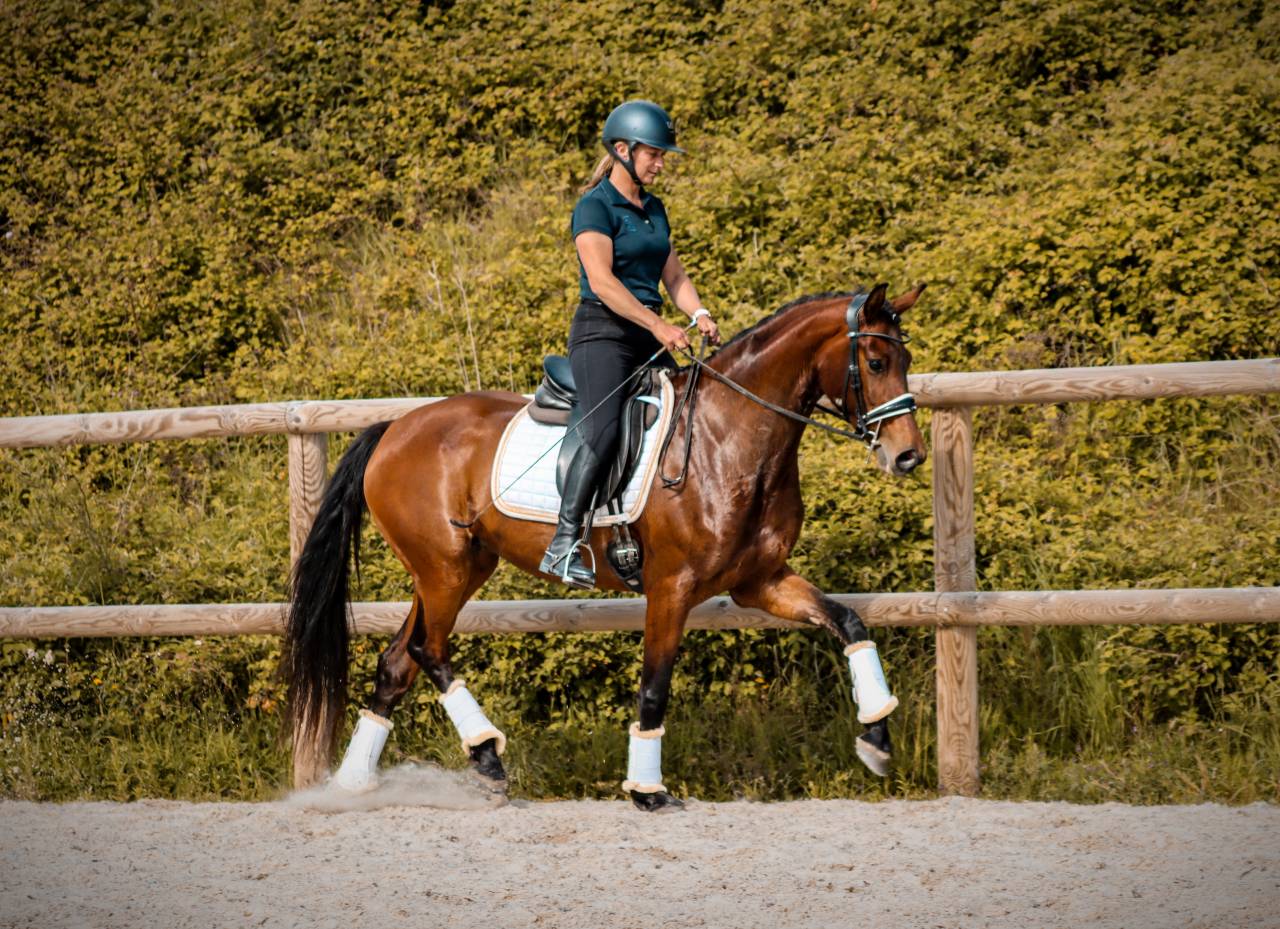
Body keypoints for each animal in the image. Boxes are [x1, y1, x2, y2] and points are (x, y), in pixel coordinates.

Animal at [283, 282, 927, 811]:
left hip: (455, 568)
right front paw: (647, 789)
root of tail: (394, 428)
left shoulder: (759, 582)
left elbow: (848, 621)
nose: (908, 456)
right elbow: (654, 685)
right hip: (445, 568)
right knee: (428, 650)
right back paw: (487, 756)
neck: (728, 437)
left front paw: (876, 735)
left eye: (906, 361)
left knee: (399, 661)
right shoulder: (672, 588)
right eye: (875, 362)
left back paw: (353, 785)